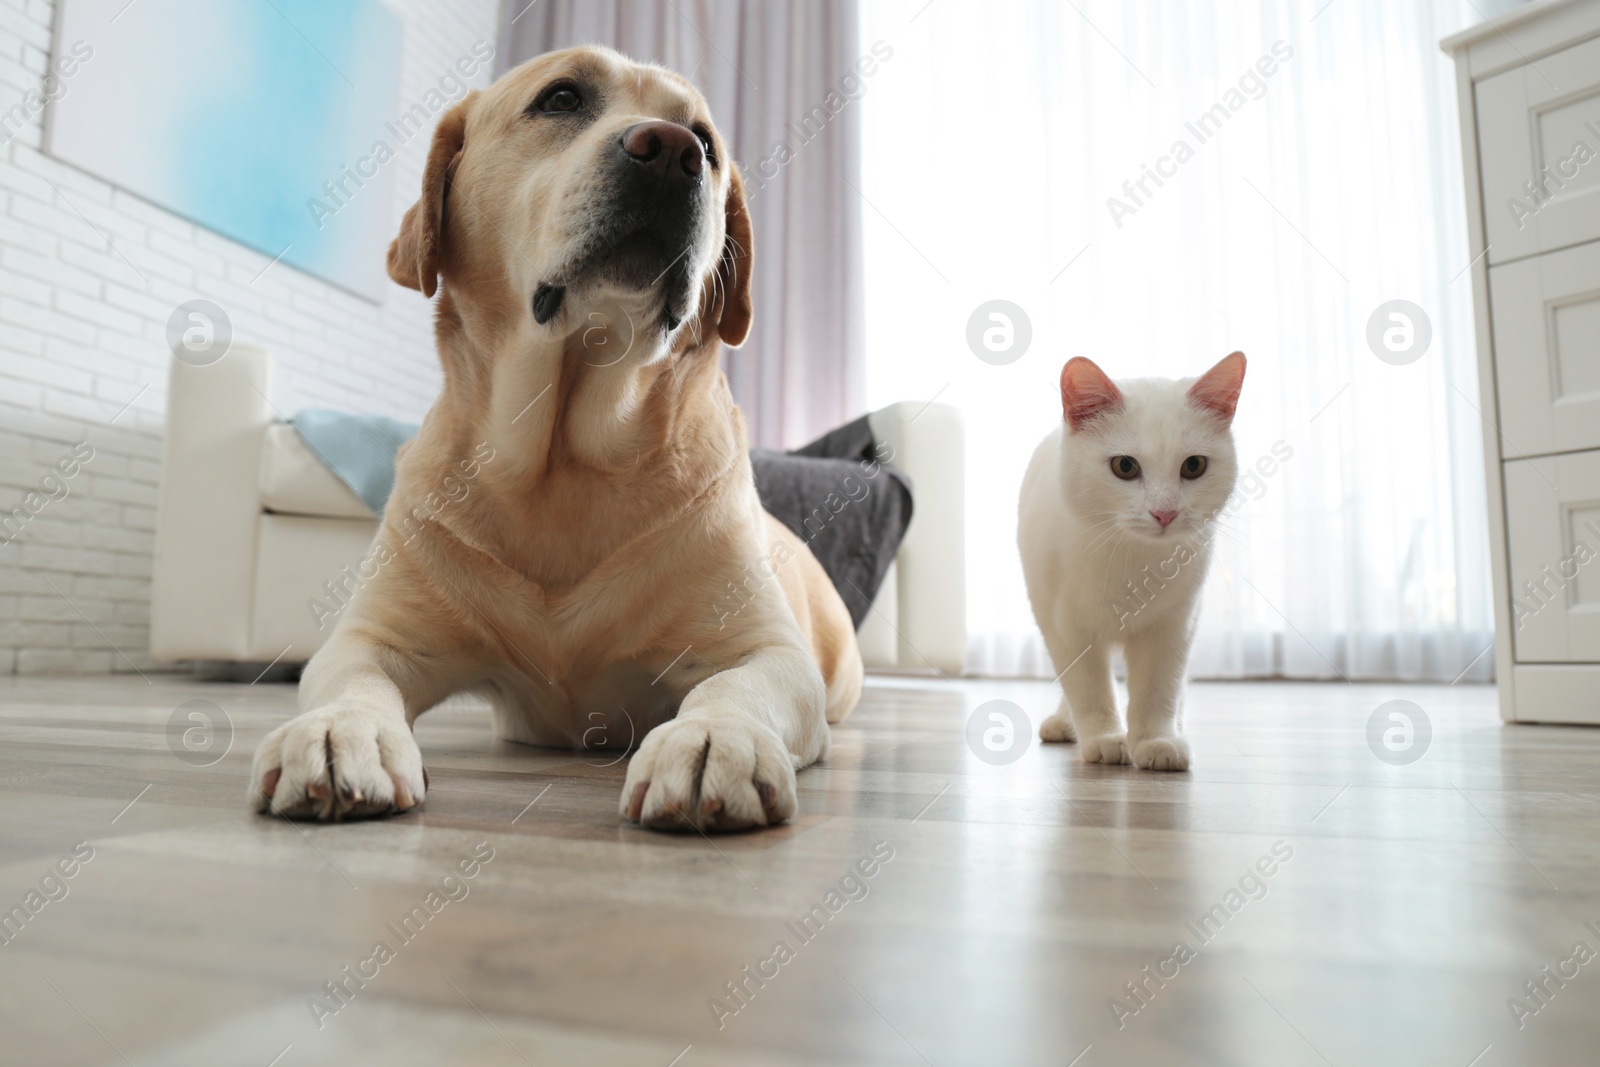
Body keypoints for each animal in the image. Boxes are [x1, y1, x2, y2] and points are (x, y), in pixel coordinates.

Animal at [251, 45, 870, 831]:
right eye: (562, 98)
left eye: (705, 141)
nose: (672, 151)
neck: (561, 459)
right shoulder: (373, 637)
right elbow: (351, 681)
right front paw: (339, 731)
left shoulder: (765, 649)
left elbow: (731, 688)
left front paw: (713, 739)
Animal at [1011, 355, 1248, 771]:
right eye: (1124, 466)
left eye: (1193, 466)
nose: (1165, 512)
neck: (1132, 560)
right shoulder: (1065, 627)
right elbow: (1087, 687)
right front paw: (1104, 738)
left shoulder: (1174, 626)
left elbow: (1159, 688)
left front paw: (1156, 741)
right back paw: (1063, 723)